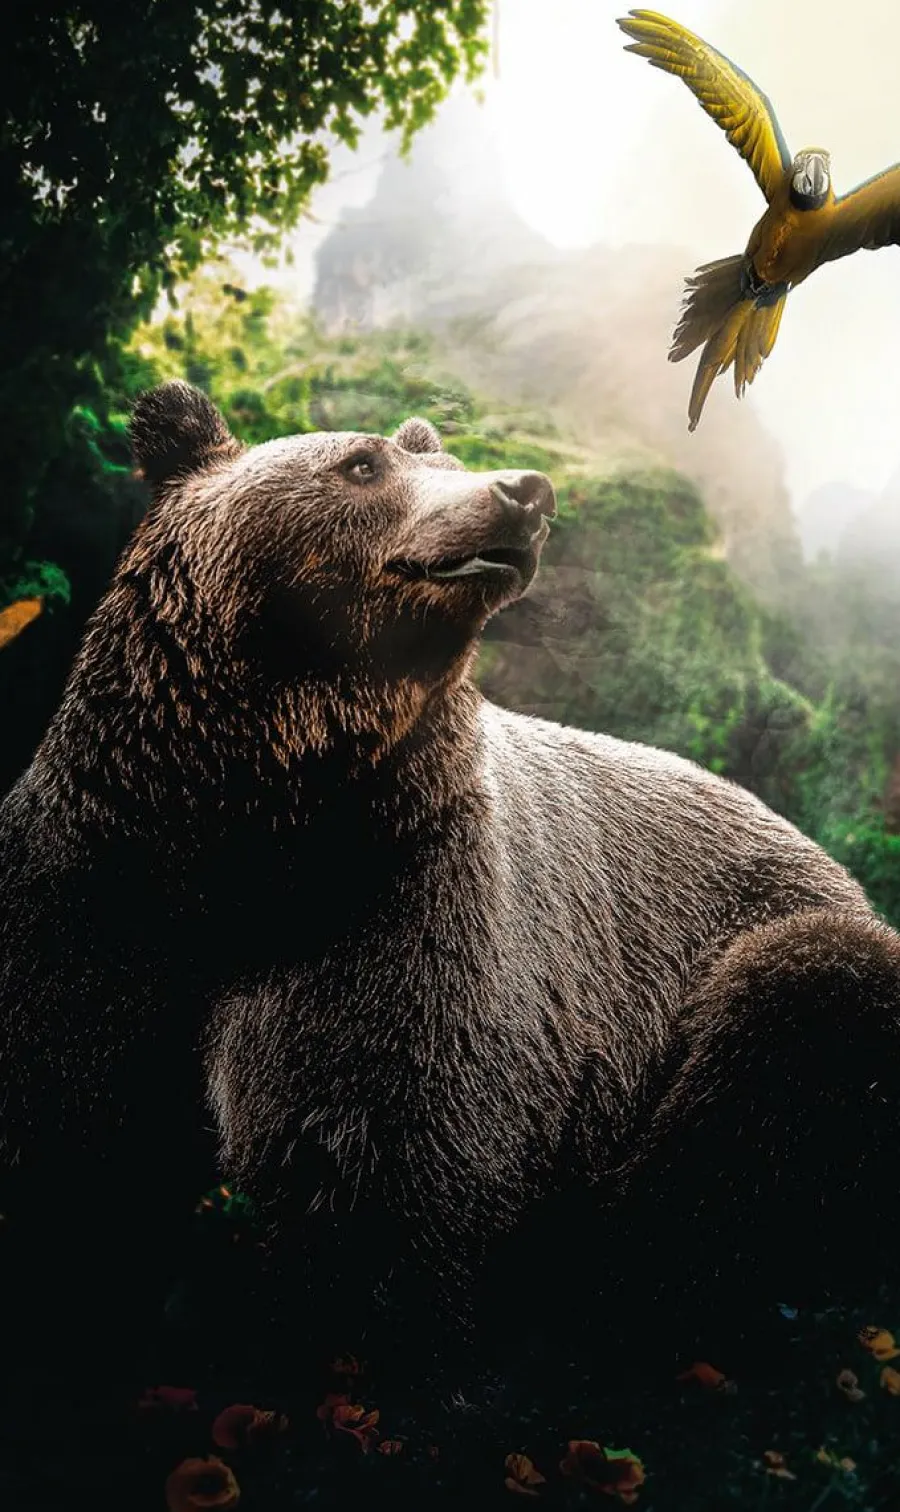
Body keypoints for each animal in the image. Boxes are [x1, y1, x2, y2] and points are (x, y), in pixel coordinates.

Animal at [1, 379, 900, 1405]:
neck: (256, 817)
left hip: (775, 958)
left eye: (446, 458)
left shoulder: (409, 913)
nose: (525, 492)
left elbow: (402, 1164)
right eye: (362, 462)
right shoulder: (98, 884)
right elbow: (75, 1129)